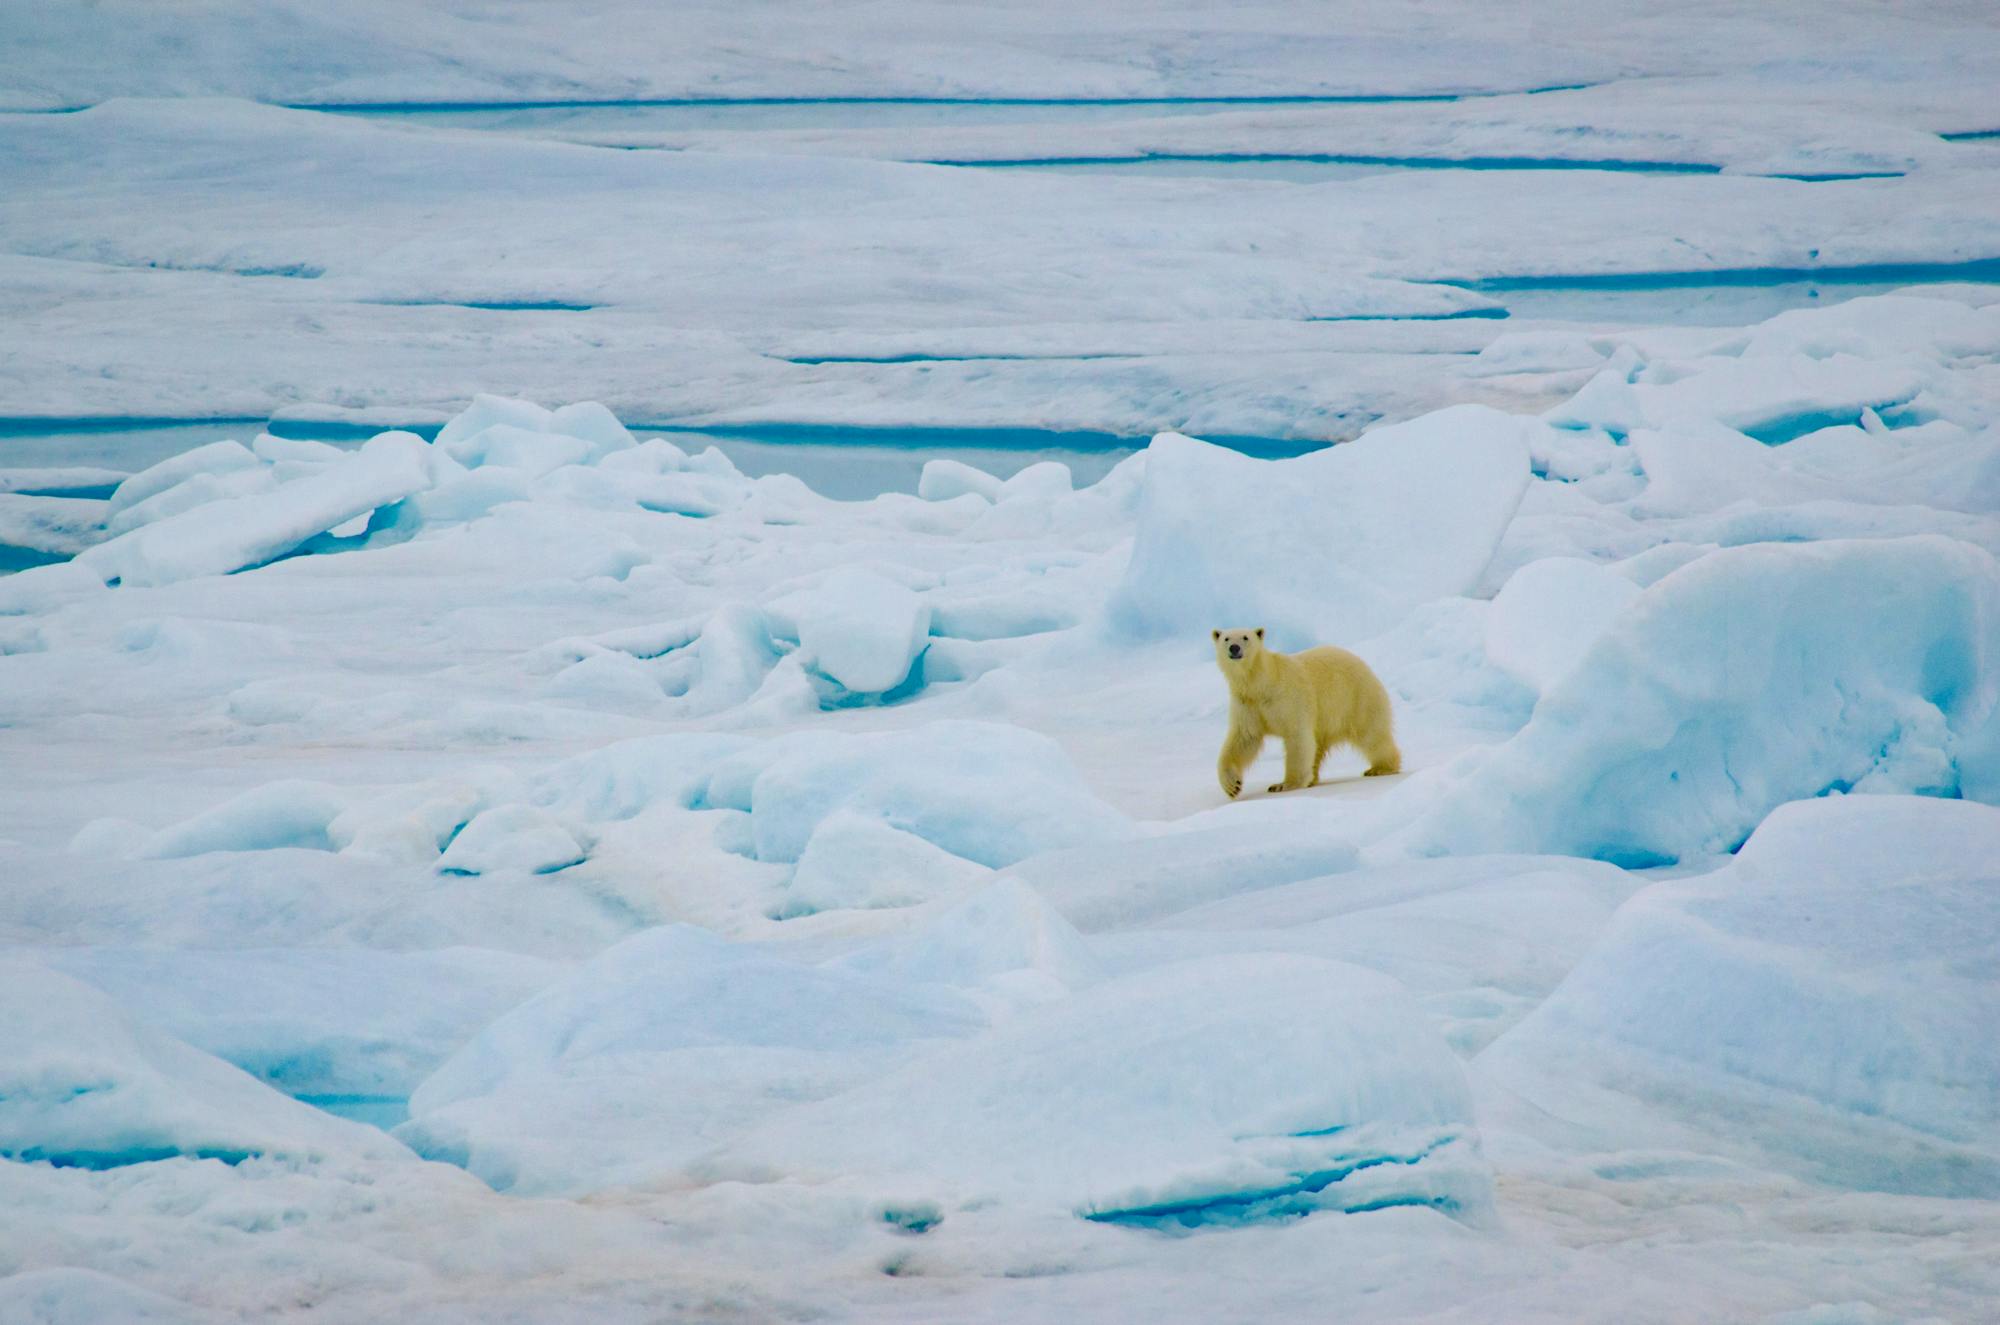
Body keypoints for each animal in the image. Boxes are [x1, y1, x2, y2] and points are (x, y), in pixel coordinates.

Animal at [1213, 627, 1401, 798]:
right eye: (1226, 638)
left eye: (1246, 637)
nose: (1234, 648)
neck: (1262, 682)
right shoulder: (1248, 703)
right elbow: (1245, 739)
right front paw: (1232, 785)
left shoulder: (1288, 697)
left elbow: (1297, 736)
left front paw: (1284, 785)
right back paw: (1313, 779)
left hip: (1356, 699)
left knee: (1371, 734)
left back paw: (1381, 768)